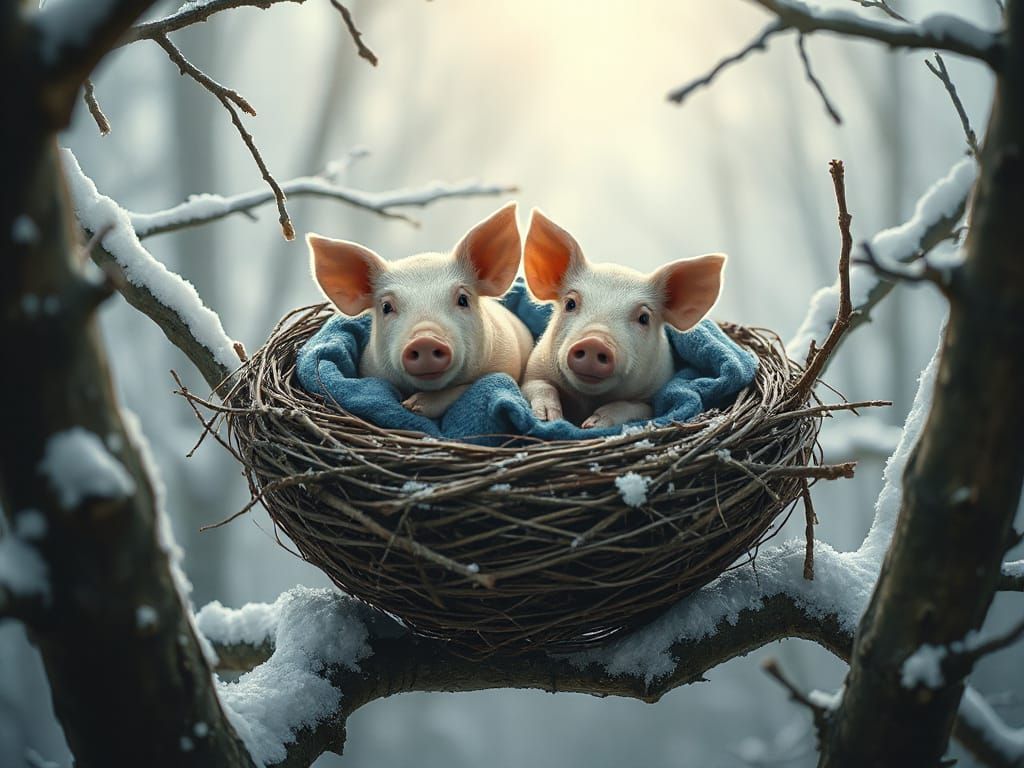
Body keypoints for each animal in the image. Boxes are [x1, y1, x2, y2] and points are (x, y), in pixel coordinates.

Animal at [307, 202, 534, 419]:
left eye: (463, 299)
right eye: (386, 307)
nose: (425, 339)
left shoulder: (507, 366)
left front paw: (412, 406)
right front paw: (408, 406)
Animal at [521, 209, 726, 428]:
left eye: (644, 318)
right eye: (570, 304)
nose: (594, 342)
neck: (588, 400)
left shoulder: (655, 396)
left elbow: (633, 407)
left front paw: (592, 424)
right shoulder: (533, 370)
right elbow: (538, 386)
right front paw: (549, 418)